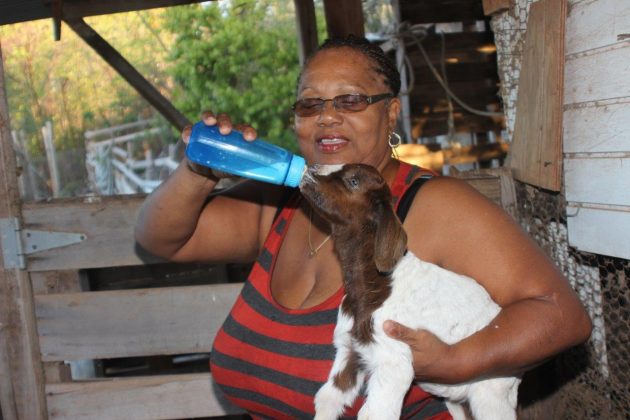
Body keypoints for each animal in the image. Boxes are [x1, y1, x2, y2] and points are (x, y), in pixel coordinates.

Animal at [302, 163, 524, 420]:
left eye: (353, 181)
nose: (311, 167)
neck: (375, 283)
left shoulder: (393, 362)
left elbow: (375, 413)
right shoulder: (350, 350)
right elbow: (328, 399)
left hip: (491, 390)